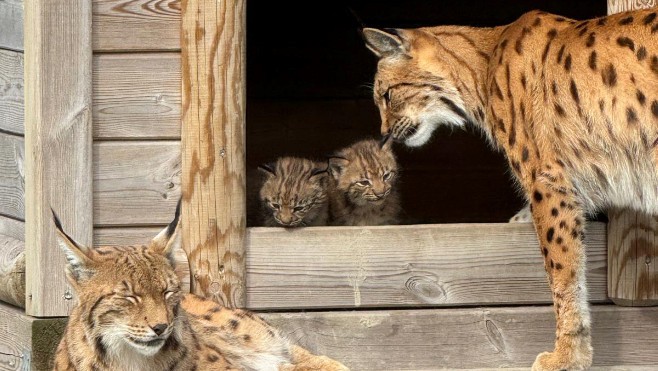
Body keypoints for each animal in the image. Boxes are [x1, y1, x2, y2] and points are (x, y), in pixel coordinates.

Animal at [362, 7, 656, 370]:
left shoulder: (548, 181)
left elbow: (564, 275)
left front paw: (568, 355)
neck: (481, 68)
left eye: (387, 96)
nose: (383, 136)